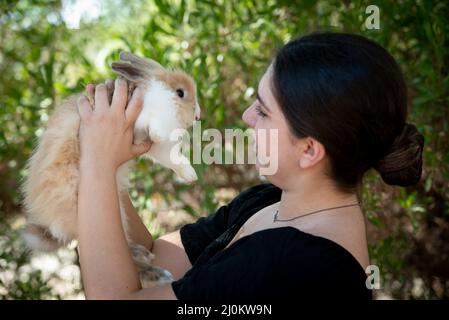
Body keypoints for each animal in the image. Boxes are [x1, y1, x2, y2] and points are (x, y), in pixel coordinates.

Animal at [21, 52, 200, 288]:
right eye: (180, 93)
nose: (198, 116)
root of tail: (53, 225)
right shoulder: (144, 115)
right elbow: (155, 128)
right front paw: (158, 133)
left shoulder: (157, 149)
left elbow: (173, 159)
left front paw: (191, 176)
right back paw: (157, 274)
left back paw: (142, 253)